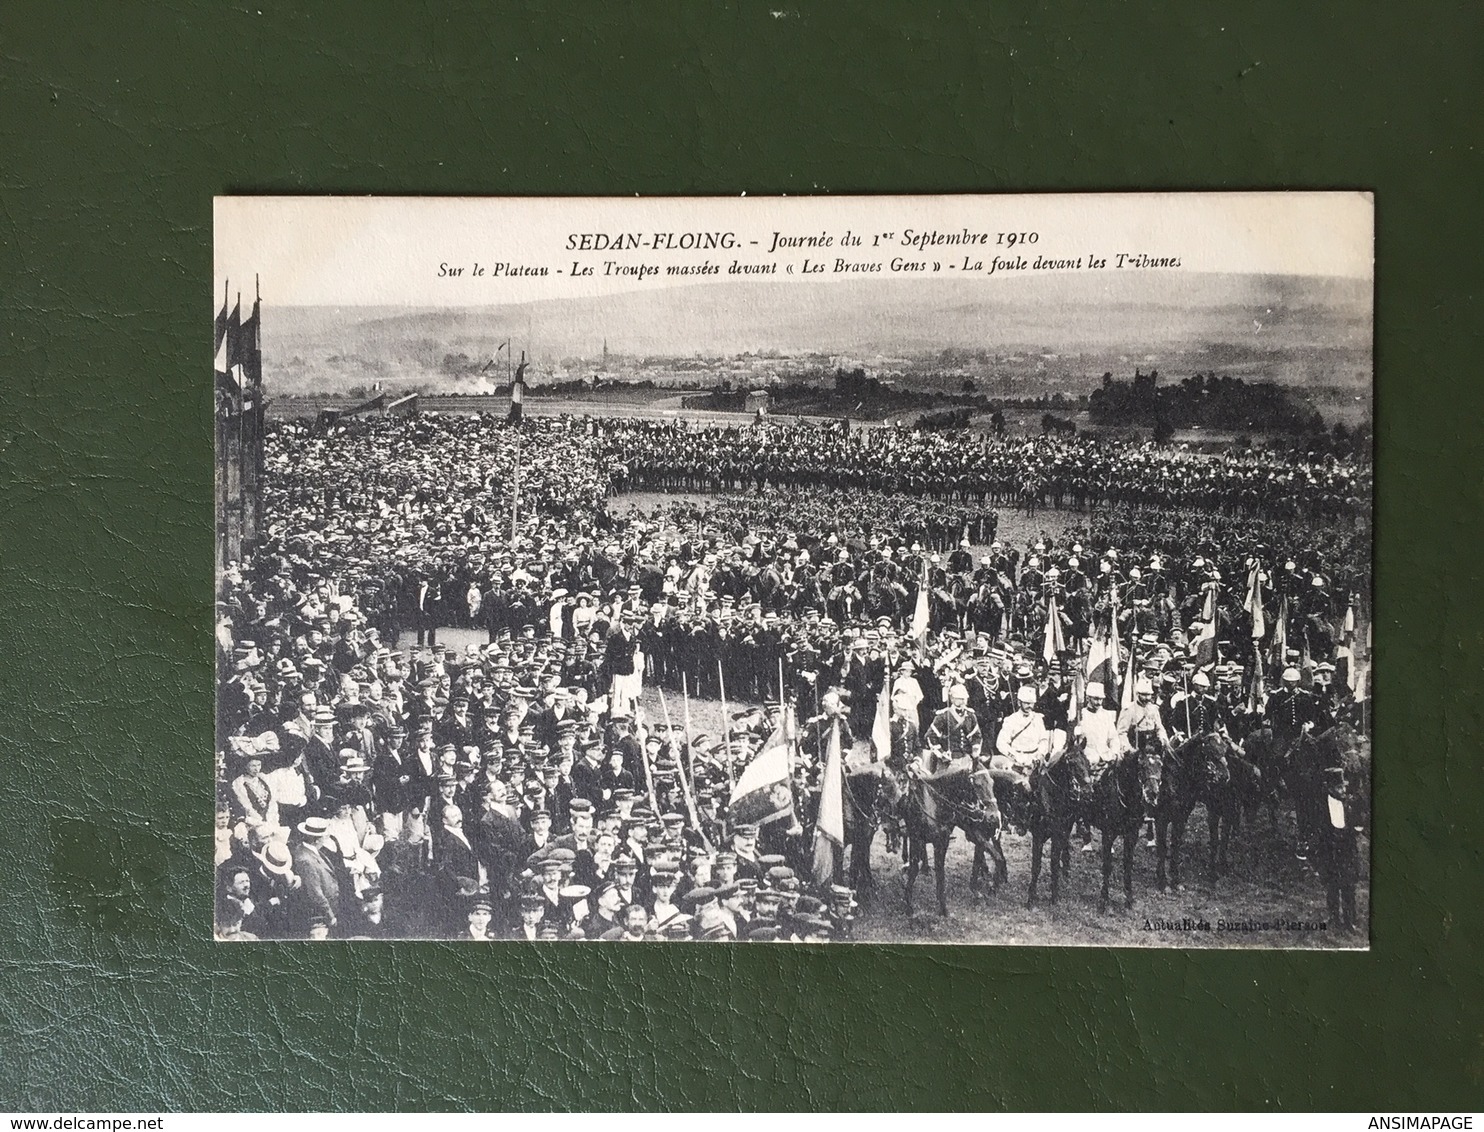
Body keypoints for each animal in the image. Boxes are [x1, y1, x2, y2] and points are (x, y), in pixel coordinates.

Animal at [890, 753, 1009, 919]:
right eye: (977, 784)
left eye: (991, 783)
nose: (993, 816)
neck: (933, 803)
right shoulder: (917, 838)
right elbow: (915, 869)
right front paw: (908, 906)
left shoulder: (943, 840)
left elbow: (941, 871)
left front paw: (943, 908)